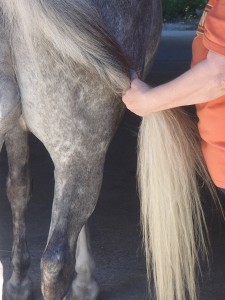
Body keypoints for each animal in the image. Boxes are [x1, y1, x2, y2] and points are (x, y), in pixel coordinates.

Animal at [0, 0, 162, 298]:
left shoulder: (16, 126)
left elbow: (18, 190)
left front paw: (18, 280)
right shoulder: (88, 149)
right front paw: (85, 280)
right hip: (80, 153)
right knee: (56, 263)